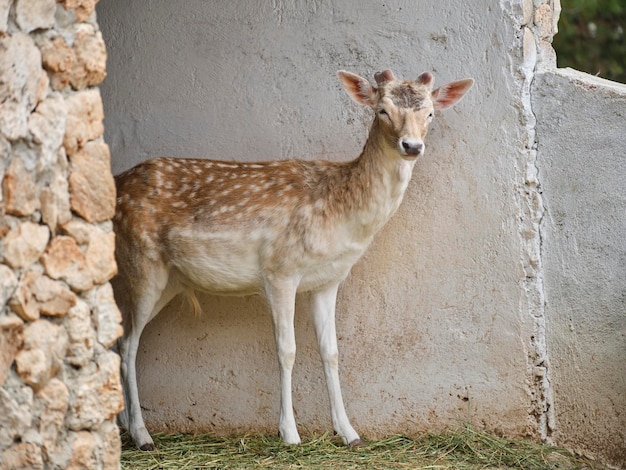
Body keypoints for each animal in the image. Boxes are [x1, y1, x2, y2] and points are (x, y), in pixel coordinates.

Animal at [113, 68, 472, 450]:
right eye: (382, 110)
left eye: (430, 113)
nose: (412, 146)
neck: (342, 216)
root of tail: (116, 183)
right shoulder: (280, 269)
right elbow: (287, 350)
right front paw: (290, 433)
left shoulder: (329, 279)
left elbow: (331, 351)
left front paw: (349, 433)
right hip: (140, 264)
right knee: (129, 345)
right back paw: (142, 435)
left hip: (169, 280)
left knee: (118, 340)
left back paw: (122, 425)